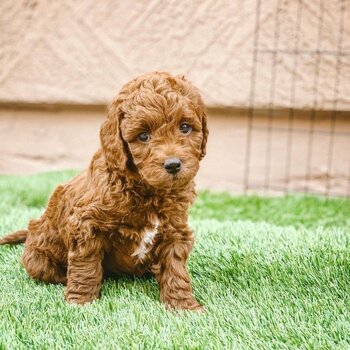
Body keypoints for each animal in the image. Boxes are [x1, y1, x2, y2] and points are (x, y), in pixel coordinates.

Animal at [0, 70, 208, 308]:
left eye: (185, 127)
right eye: (143, 136)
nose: (173, 165)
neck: (146, 189)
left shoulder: (174, 228)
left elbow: (175, 268)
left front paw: (183, 305)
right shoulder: (85, 224)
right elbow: (86, 265)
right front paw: (80, 302)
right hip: (37, 258)